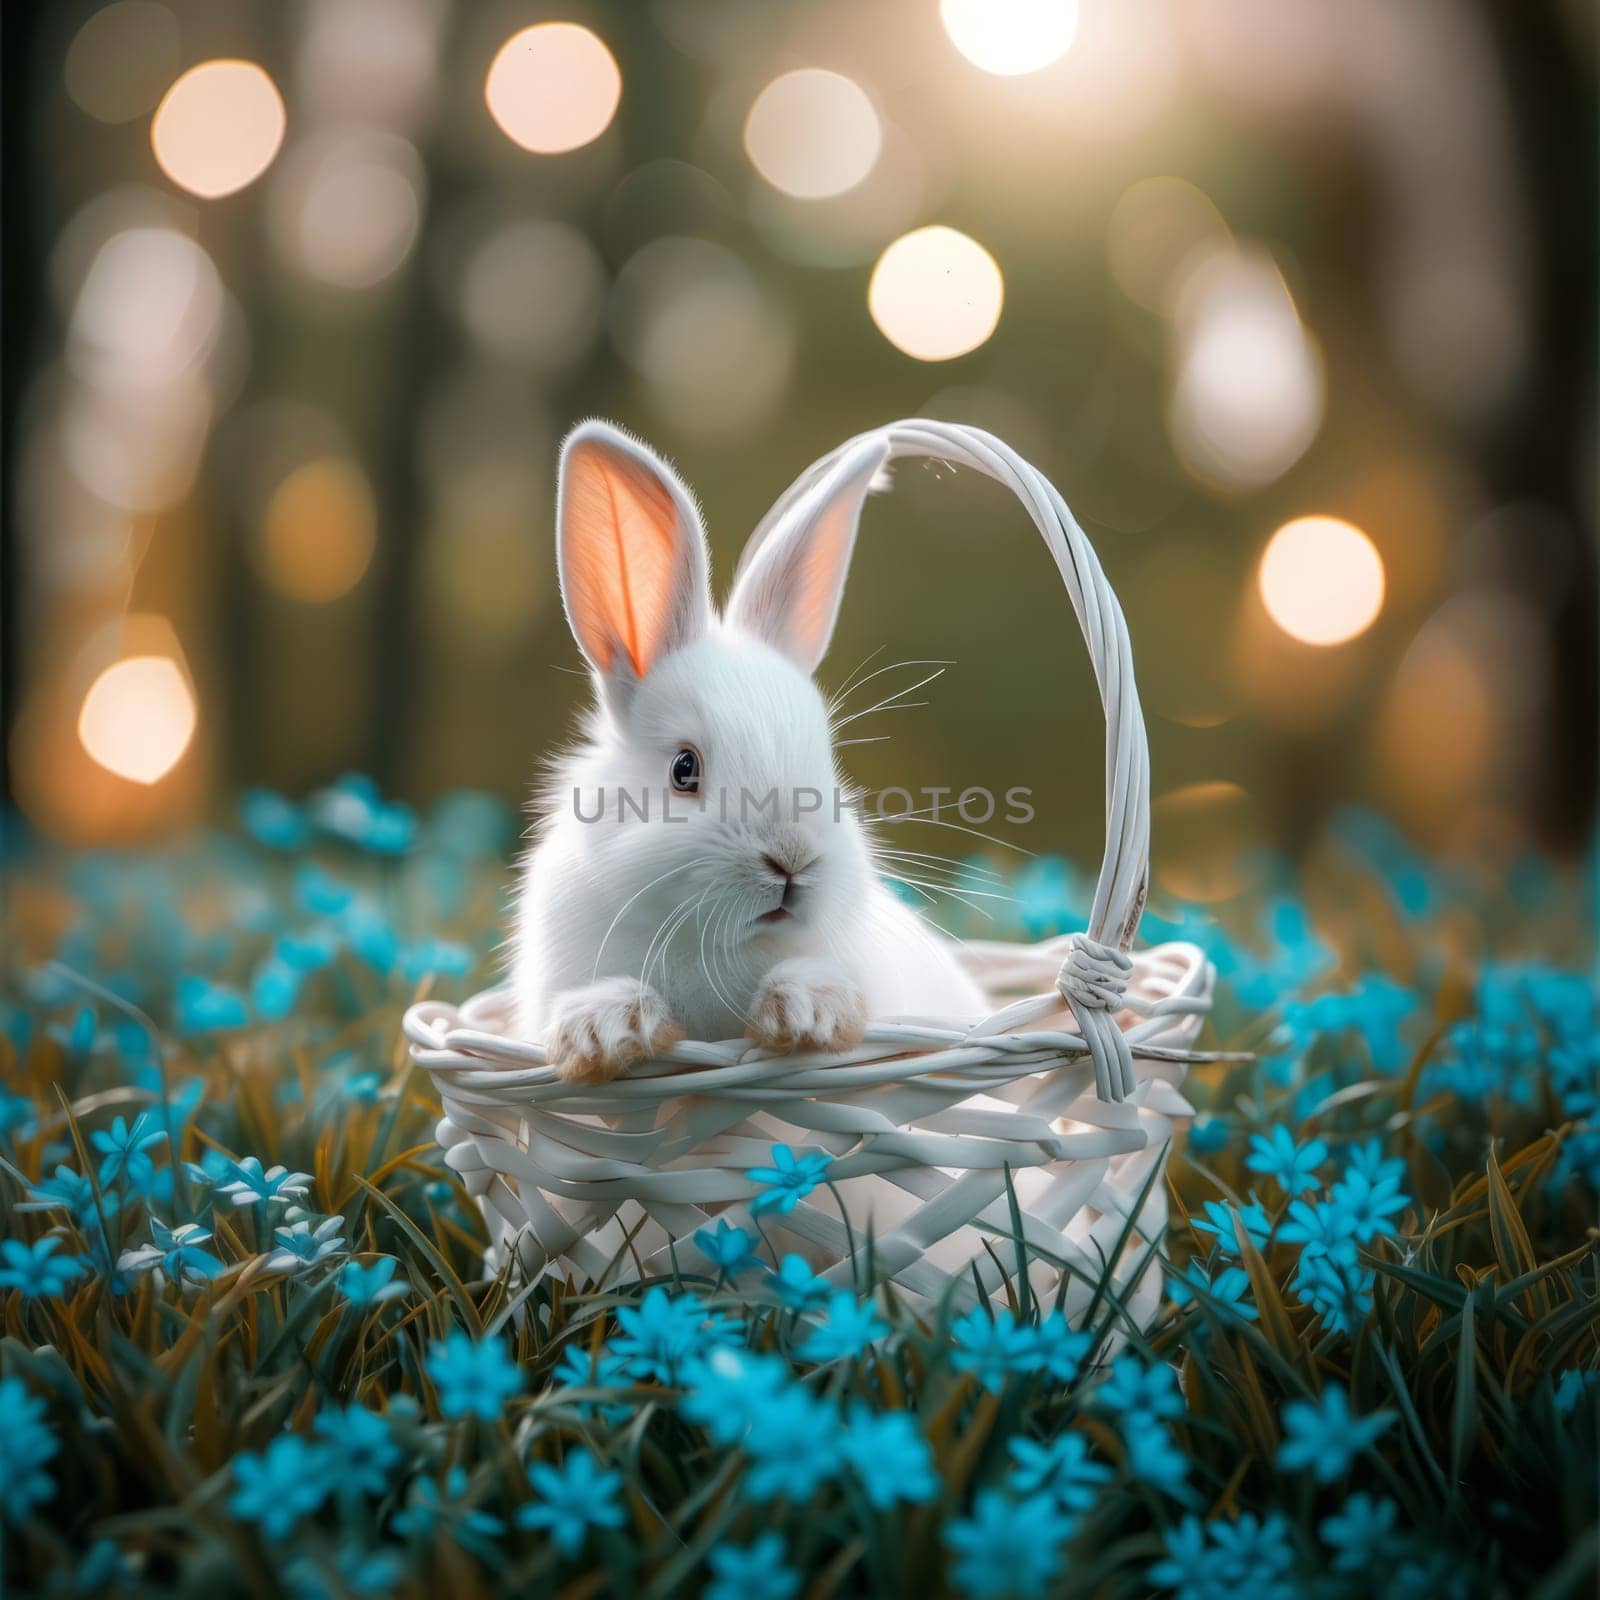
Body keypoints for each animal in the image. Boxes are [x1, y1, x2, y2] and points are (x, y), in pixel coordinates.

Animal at [512, 419, 985, 1081]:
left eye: (828, 766)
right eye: (684, 768)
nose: (792, 859)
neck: (713, 945)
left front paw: (807, 1010)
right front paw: (601, 1028)